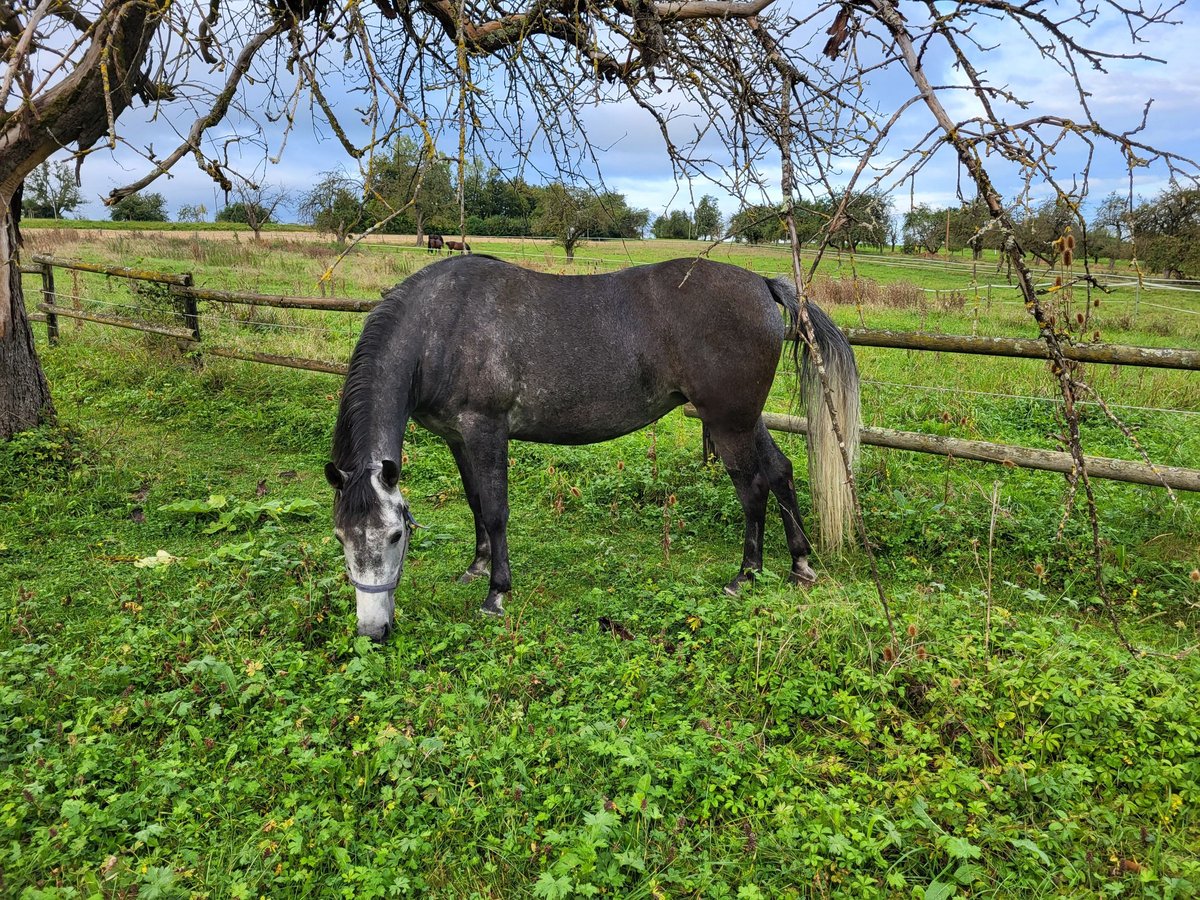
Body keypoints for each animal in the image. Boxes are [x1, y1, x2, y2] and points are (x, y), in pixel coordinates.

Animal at [324, 256, 859, 643]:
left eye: (395, 536)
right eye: (340, 537)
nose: (372, 631)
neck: (441, 323)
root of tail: (762, 284)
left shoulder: (486, 431)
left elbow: (495, 510)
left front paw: (497, 592)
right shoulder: (457, 438)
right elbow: (475, 502)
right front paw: (476, 567)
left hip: (728, 423)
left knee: (753, 489)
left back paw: (745, 576)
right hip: (744, 420)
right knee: (781, 472)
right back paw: (800, 565)